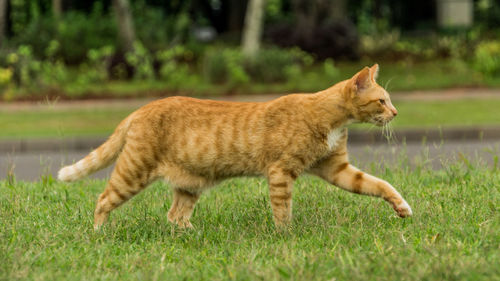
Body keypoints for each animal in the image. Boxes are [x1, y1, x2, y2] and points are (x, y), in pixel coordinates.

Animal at [58, 64, 412, 229]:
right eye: (382, 101)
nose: (396, 113)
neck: (332, 119)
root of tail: (140, 108)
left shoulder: (337, 169)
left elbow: (379, 184)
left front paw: (402, 207)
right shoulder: (281, 172)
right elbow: (282, 209)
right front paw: (286, 234)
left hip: (190, 183)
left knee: (174, 215)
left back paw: (192, 234)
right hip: (133, 172)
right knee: (103, 200)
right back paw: (99, 233)